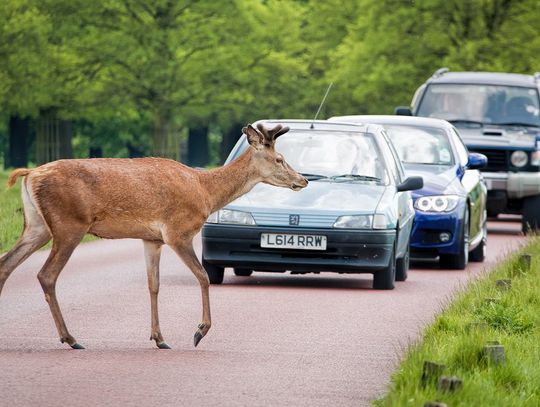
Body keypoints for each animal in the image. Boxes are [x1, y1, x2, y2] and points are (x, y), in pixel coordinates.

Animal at [0, 124, 308, 350]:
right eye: (279, 159)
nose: (303, 180)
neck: (206, 192)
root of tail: (30, 174)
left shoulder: (152, 239)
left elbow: (154, 285)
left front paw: (159, 338)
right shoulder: (177, 231)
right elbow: (202, 276)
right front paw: (199, 332)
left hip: (36, 225)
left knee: (6, 264)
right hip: (69, 225)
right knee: (46, 274)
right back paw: (71, 338)